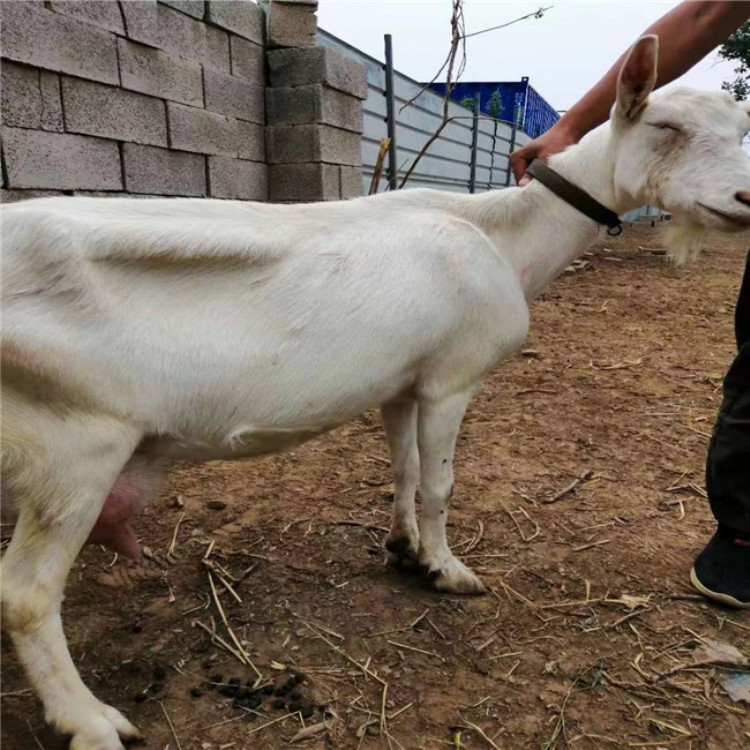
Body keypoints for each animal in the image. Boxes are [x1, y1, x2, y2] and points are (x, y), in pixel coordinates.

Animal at [1, 36, 750, 750]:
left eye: (740, 127)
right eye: (666, 126)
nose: (746, 200)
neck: (502, 236)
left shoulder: (403, 382)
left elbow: (405, 469)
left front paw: (403, 544)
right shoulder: (452, 376)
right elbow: (441, 482)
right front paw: (446, 570)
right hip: (76, 446)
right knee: (26, 596)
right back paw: (91, 721)